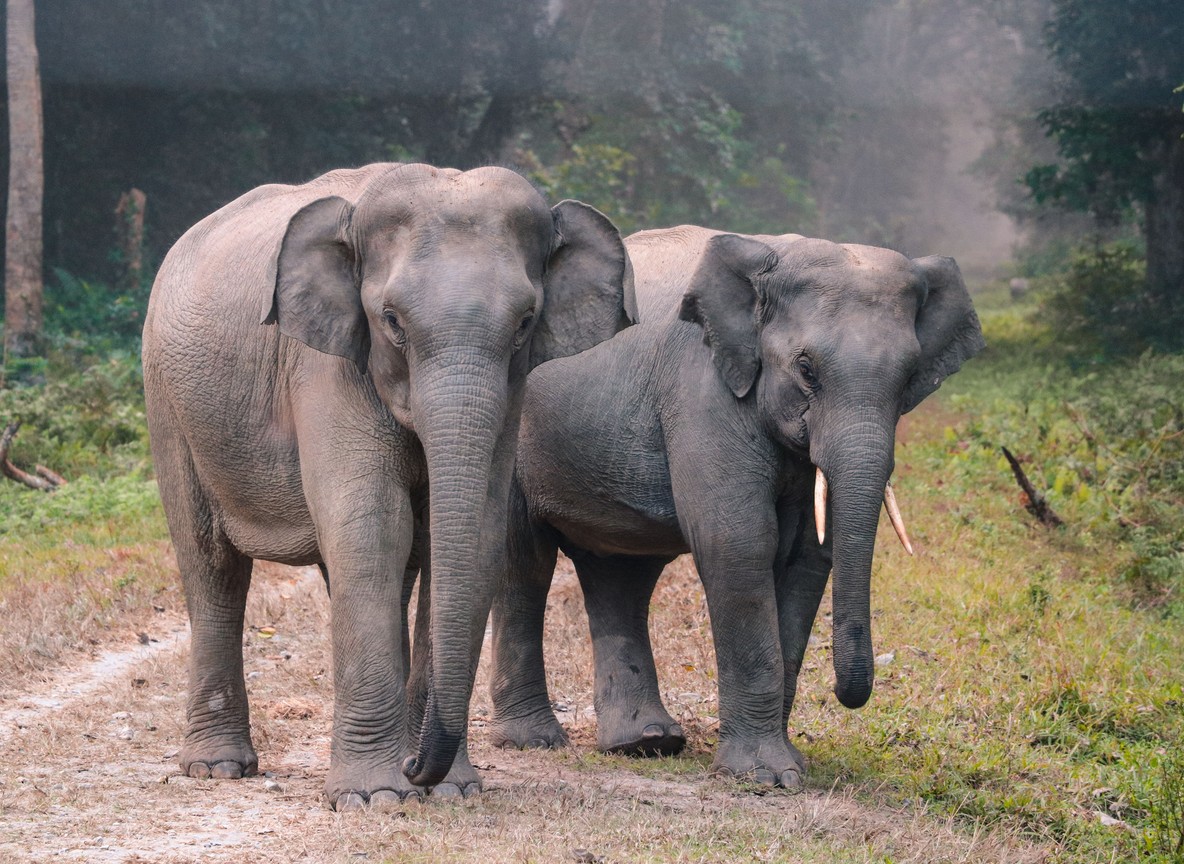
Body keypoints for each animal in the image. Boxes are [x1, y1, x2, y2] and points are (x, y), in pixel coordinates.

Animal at [141, 162, 632, 810]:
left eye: (526, 322)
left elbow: (471, 539)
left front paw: (451, 791)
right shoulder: (326, 366)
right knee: (212, 566)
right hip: (169, 404)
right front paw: (374, 797)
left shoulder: (512, 392)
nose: (418, 766)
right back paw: (217, 768)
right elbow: (372, 531)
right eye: (392, 321)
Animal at [488, 225, 983, 788]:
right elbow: (740, 544)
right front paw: (765, 778)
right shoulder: (703, 390)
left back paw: (645, 743)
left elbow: (805, 559)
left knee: (621, 574)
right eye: (806, 369)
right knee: (524, 564)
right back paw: (535, 740)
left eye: (908, 378)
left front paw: (791, 766)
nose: (849, 694)